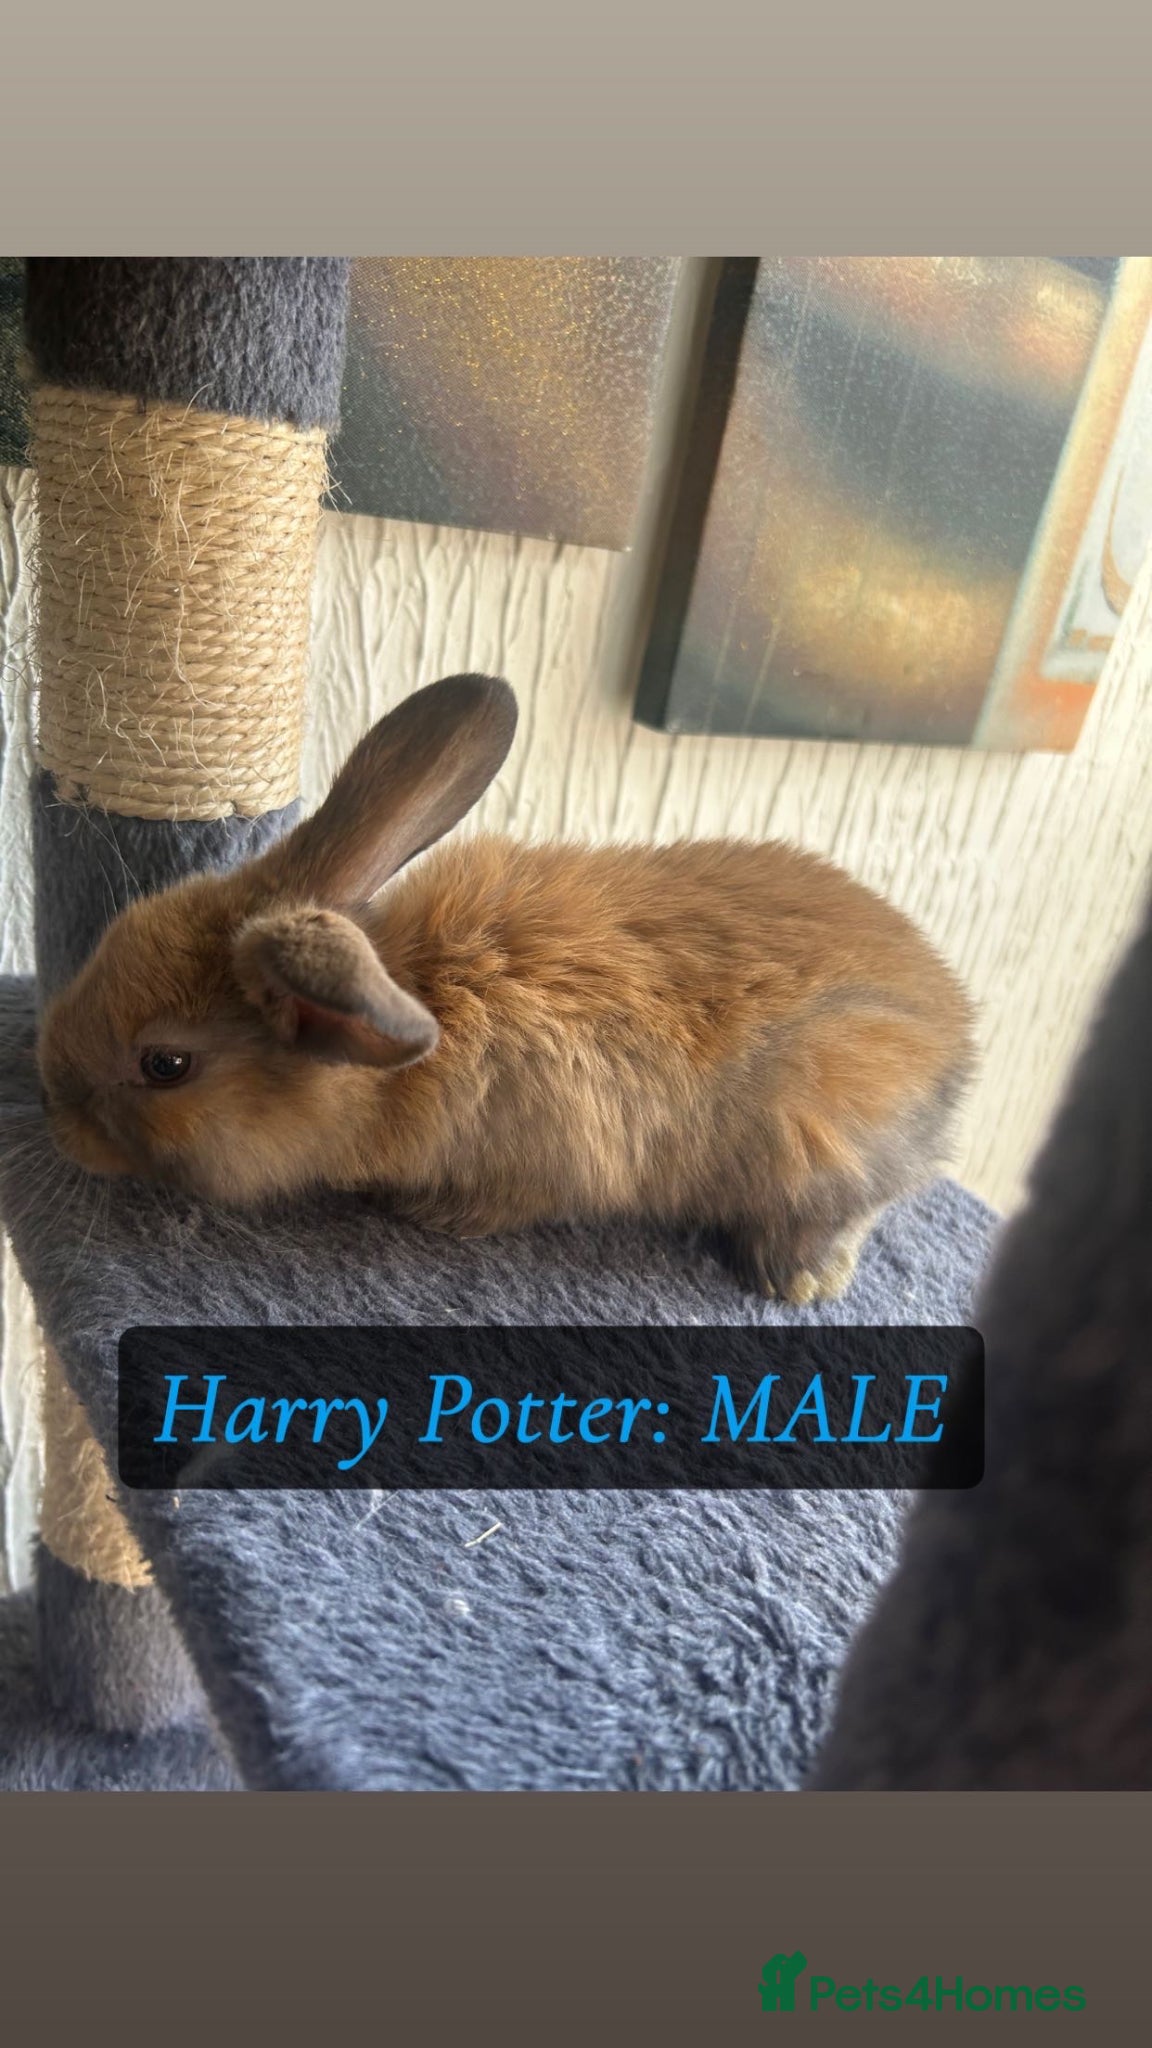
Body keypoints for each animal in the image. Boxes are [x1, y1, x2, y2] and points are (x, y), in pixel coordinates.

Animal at [38, 672, 975, 1303]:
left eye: (164, 1066)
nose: (56, 1113)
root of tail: (957, 1034)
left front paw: (432, 1216)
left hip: (822, 1135)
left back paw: (799, 1277)